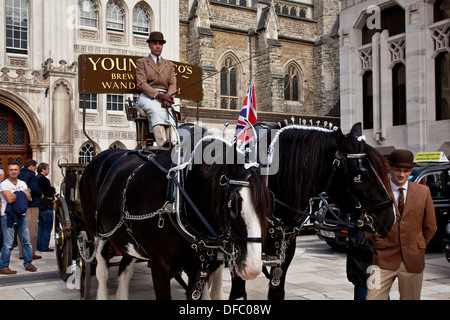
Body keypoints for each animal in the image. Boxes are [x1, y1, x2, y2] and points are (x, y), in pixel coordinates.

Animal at [77, 134, 270, 298]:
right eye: (233, 203)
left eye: (268, 204)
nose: (252, 267)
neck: (179, 196)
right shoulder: (159, 266)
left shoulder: (199, 267)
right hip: (97, 233)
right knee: (102, 271)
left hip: (128, 238)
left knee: (125, 271)